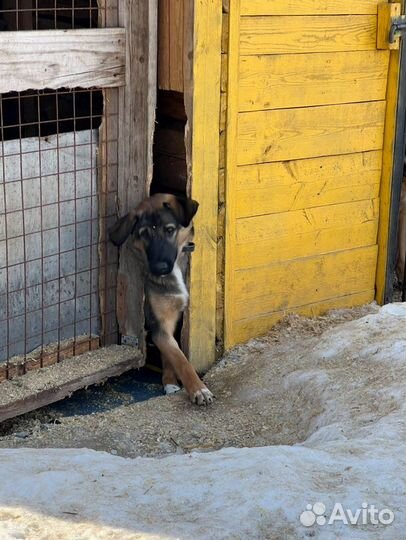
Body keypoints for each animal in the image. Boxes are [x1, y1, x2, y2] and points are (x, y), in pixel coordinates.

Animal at [109, 194, 214, 404]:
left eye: (170, 230)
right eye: (144, 234)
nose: (160, 268)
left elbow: (173, 354)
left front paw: (174, 382)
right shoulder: (160, 324)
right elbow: (179, 358)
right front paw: (196, 388)